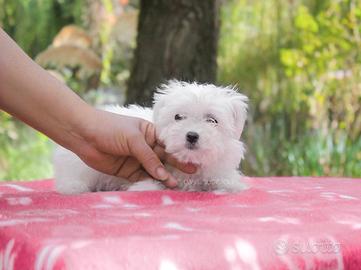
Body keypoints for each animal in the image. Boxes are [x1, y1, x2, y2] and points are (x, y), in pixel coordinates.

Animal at [54, 80, 248, 194]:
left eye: (212, 120)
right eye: (178, 117)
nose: (192, 135)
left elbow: (225, 180)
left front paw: (231, 185)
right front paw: (144, 187)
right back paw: (74, 186)